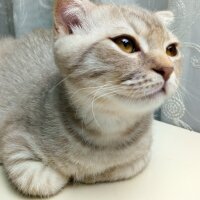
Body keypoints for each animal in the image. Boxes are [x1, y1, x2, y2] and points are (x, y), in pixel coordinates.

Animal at [0, 0, 181, 198]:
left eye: (171, 50)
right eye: (125, 44)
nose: (168, 69)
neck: (109, 130)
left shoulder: (141, 156)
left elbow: (121, 168)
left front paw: (91, 174)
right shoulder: (15, 142)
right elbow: (42, 181)